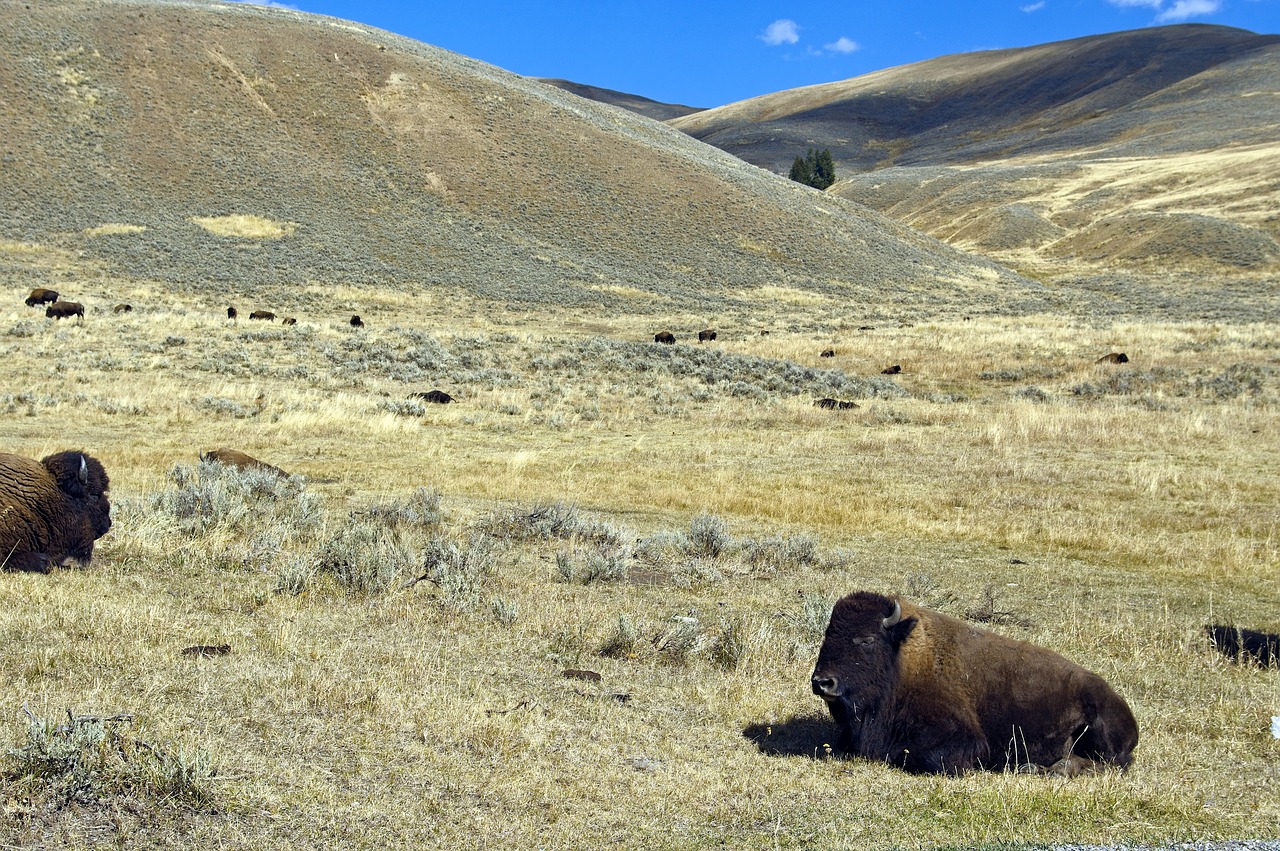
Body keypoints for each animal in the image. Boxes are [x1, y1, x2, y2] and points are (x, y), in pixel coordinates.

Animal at [814, 591, 1136, 778]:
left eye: (867, 640)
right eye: (828, 633)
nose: (822, 682)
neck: (904, 656)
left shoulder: (963, 736)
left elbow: (928, 757)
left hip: (1100, 730)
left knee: (1108, 764)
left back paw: (1050, 769)